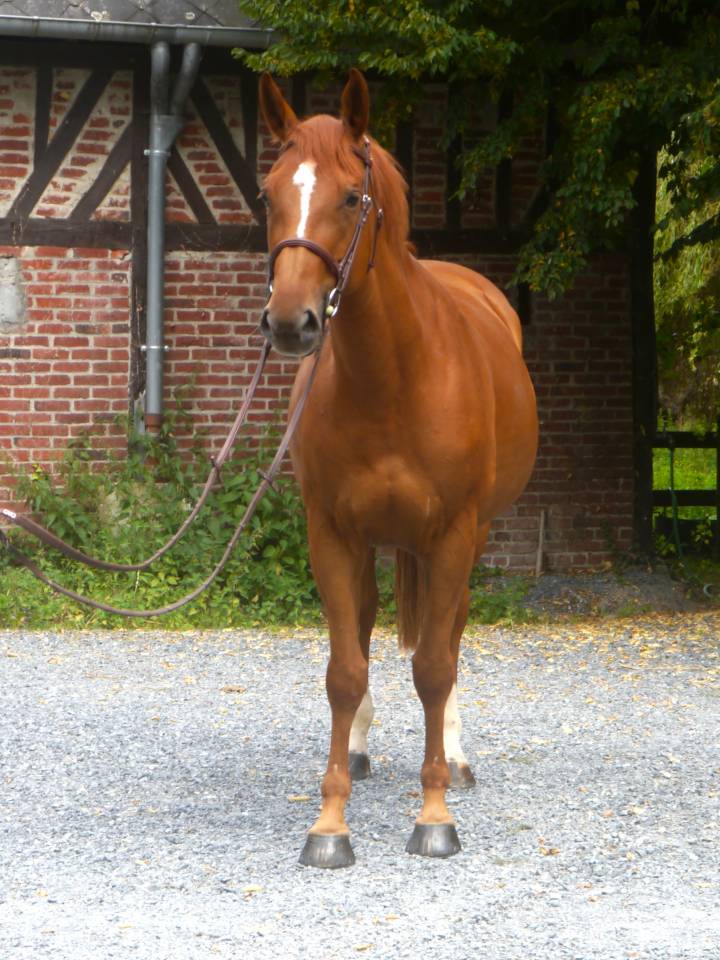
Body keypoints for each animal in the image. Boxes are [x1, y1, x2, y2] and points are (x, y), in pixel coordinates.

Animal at [258, 70, 538, 868]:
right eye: (268, 193)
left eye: (353, 197)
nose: (291, 321)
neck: (392, 377)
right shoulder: (331, 533)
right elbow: (344, 668)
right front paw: (329, 824)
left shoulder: (450, 535)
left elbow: (435, 666)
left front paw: (435, 814)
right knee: (367, 623)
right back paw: (356, 749)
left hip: (470, 539)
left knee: (452, 632)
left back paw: (457, 754)